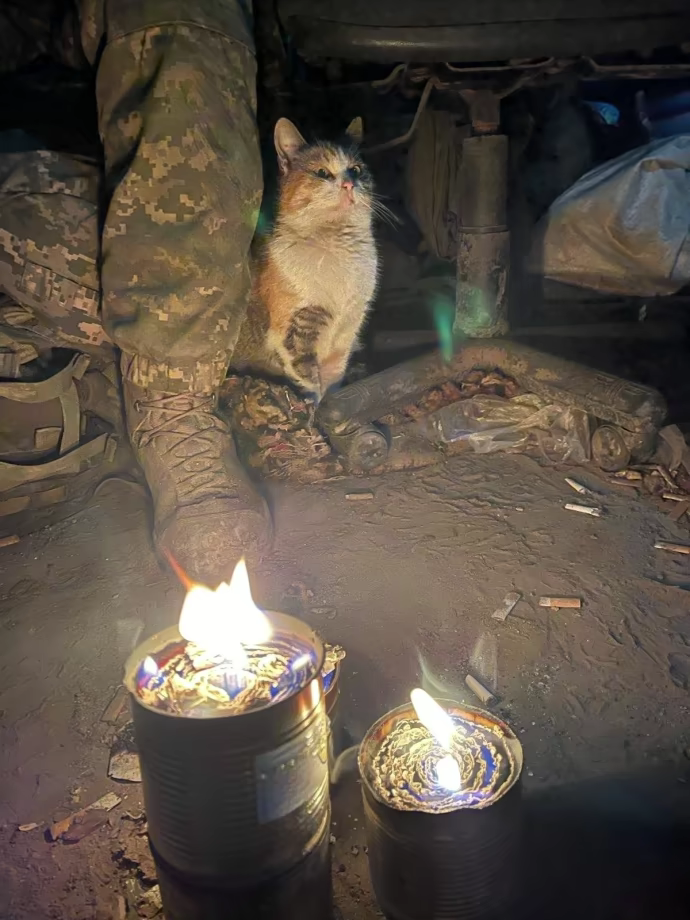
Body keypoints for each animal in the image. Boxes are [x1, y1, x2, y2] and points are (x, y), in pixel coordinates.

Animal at [232, 117, 379, 403]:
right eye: (322, 173)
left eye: (356, 169)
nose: (349, 185)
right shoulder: (296, 327)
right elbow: (308, 377)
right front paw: (313, 406)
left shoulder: (349, 327)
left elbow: (334, 375)